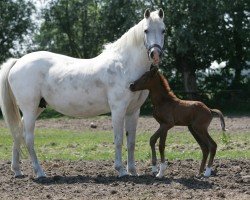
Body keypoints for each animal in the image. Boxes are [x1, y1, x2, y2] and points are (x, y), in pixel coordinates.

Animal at [0, 8, 165, 177]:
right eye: (146, 30)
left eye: (163, 30)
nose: (155, 54)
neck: (124, 65)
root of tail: (18, 62)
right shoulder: (118, 109)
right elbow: (119, 139)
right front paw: (121, 170)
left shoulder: (133, 111)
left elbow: (131, 141)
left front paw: (132, 171)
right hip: (29, 108)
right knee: (28, 138)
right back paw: (39, 172)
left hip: (38, 107)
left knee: (18, 132)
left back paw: (17, 170)